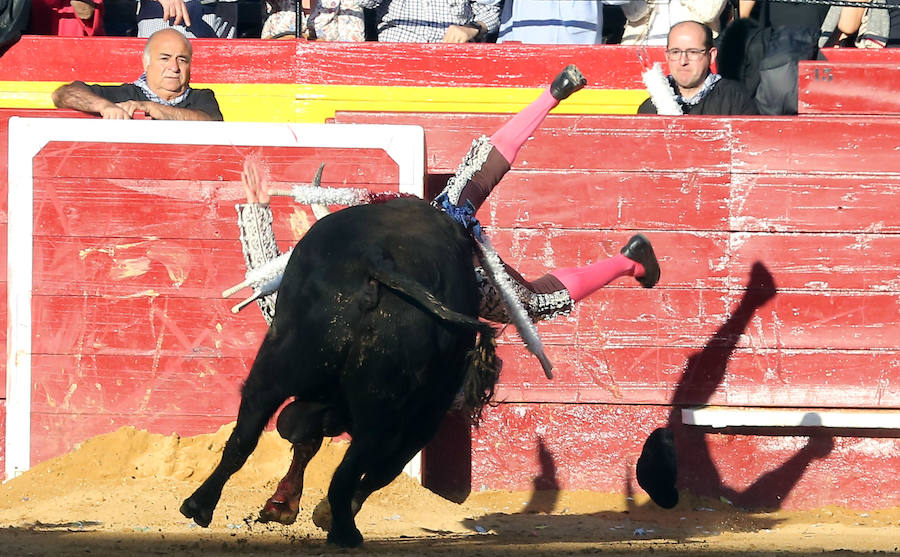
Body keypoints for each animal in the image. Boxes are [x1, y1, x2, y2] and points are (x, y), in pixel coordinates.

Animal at [179, 198, 502, 544]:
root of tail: (380, 262)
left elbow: (317, 449)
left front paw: (285, 506)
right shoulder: (424, 418)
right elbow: (376, 470)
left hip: (278, 366)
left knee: (246, 436)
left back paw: (199, 506)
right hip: (392, 409)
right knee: (356, 466)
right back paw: (343, 528)